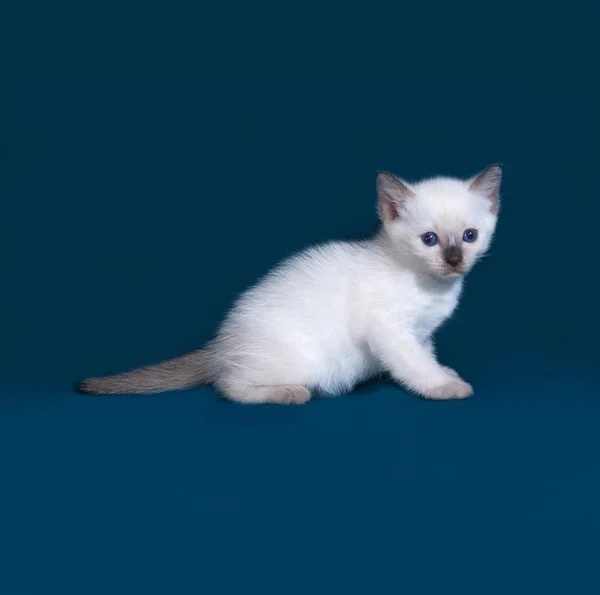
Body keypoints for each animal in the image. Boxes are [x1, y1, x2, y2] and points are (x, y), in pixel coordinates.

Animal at [76, 163, 502, 406]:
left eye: (469, 236)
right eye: (429, 239)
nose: (454, 261)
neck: (432, 287)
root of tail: (220, 344)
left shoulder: (421, 333)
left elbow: (427, 358)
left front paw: (446, 375)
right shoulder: (392, 333)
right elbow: (415, 367)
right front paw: (445, 388)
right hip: (299, 363)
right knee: (229, 386)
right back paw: (290, 394)